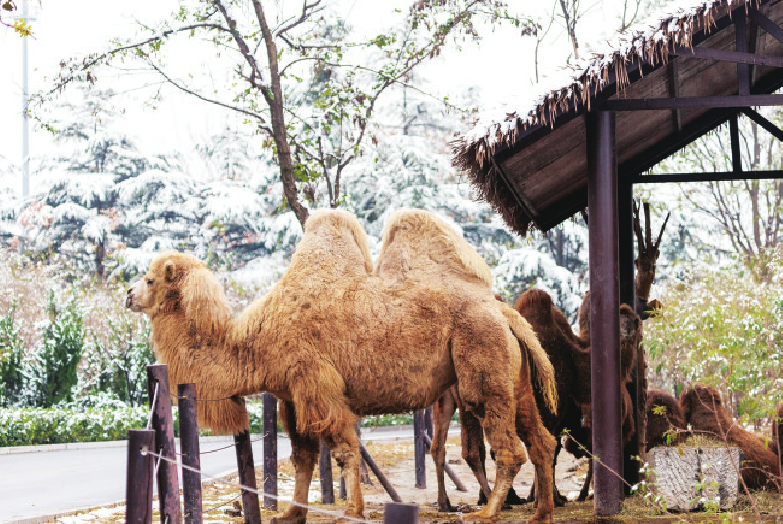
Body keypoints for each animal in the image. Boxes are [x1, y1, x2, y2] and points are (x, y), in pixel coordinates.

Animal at [127, 209, 552, 524]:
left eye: (150, 279)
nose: (128, 294)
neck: (255, 341)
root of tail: (502, 311)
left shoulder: (315, 383)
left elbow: (344, 450)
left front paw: (352, 508)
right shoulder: (291, 397)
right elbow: (302, 458)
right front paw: (292, 513)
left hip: (481, 365)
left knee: (509, 447)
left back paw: (487, 511)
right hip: (514, 378)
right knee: (541, 440)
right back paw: (541, 512)